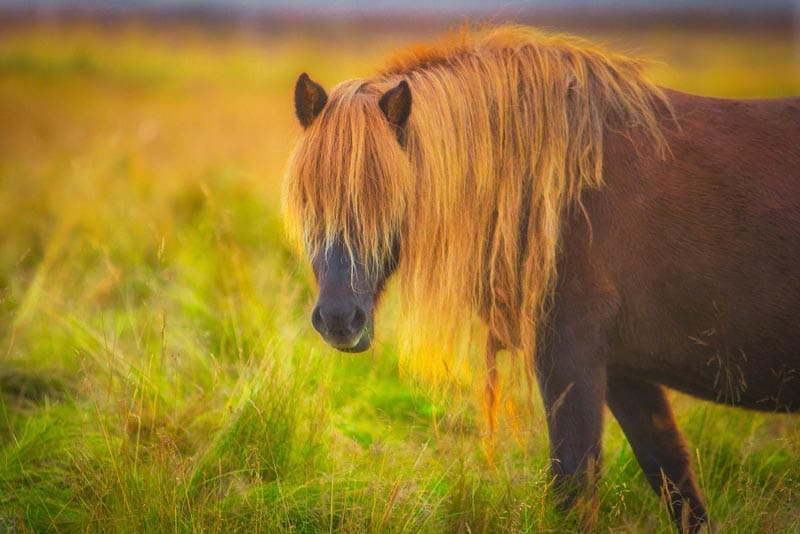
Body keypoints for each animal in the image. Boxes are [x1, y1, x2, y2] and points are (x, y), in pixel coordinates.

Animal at [282, 24, 800, 532]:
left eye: (391, 197)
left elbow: (573, 483)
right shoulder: (624, 369)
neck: (556, 195)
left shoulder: (570, 357)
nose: (339, 320)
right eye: (308, 199)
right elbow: (671, 476)